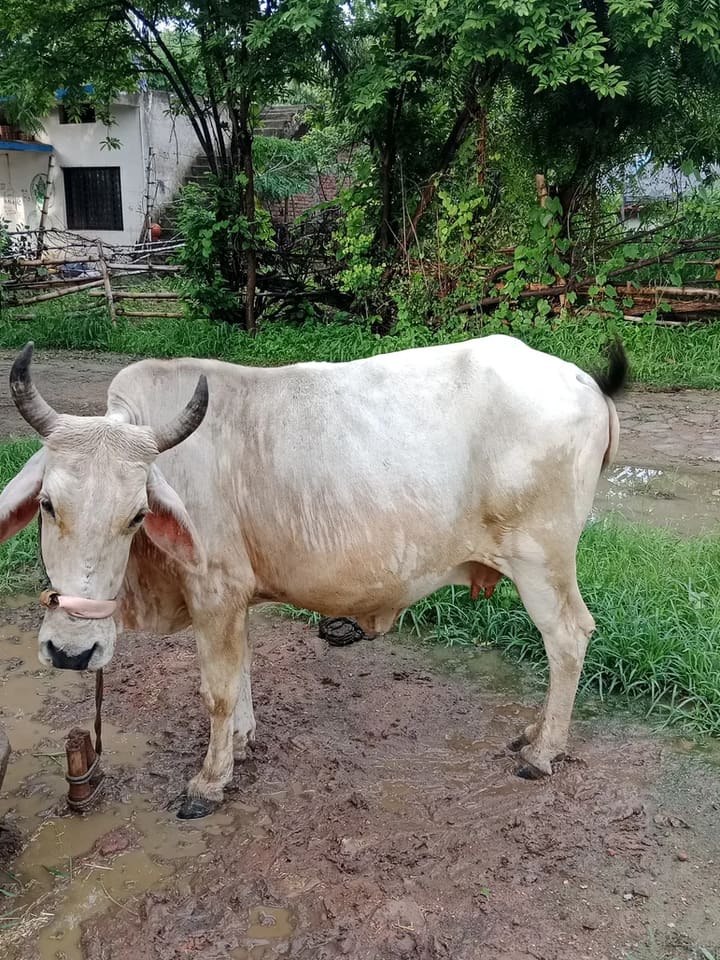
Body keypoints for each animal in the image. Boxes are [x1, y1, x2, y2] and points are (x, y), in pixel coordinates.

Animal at [0, 335, 627, 817]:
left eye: (136, 515)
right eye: (49, 504)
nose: (72, 652)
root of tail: (585, 382)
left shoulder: (215, 592)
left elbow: (217, 692)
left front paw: (209, 781)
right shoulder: (234, 600)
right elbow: (242, 674)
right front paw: (242, 743)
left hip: (542, 563)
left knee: (568, 640)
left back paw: (542, 752)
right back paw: (533, 733)